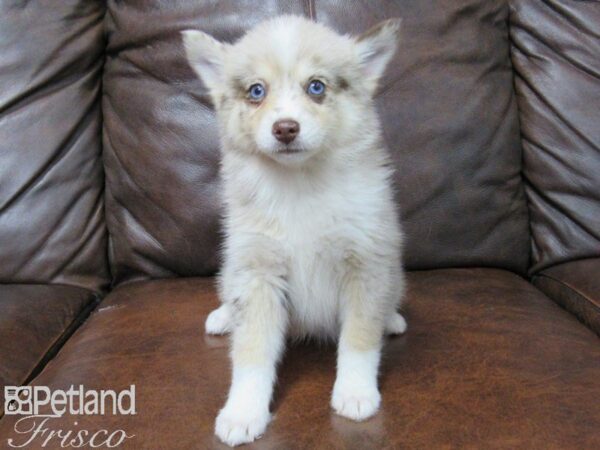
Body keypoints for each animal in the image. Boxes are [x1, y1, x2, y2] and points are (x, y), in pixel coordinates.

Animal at [182, 14, 408, 446]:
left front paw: (355, 393)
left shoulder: (364, 264)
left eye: (316, 86)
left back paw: (391, 319)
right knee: (229, 296)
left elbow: (359, 338)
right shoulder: (258, 273)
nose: (285, 128)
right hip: (233, 268)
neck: (300, 184)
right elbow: (251, 353)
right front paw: (242, 412)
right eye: (257, 91)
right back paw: (223, 317)